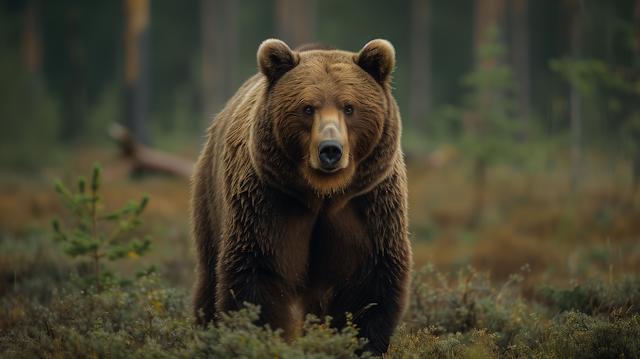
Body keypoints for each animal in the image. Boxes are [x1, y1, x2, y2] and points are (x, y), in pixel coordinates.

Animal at [190, 38, 412, 356]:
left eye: (349, 107)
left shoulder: (369, 204)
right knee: (209, 277)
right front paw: (263, 340)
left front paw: (359, 344)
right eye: (307, 108)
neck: (323, 193)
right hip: (210, 196)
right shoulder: (268, 201)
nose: (330, 149)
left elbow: (371, 283)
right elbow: (257, 273)